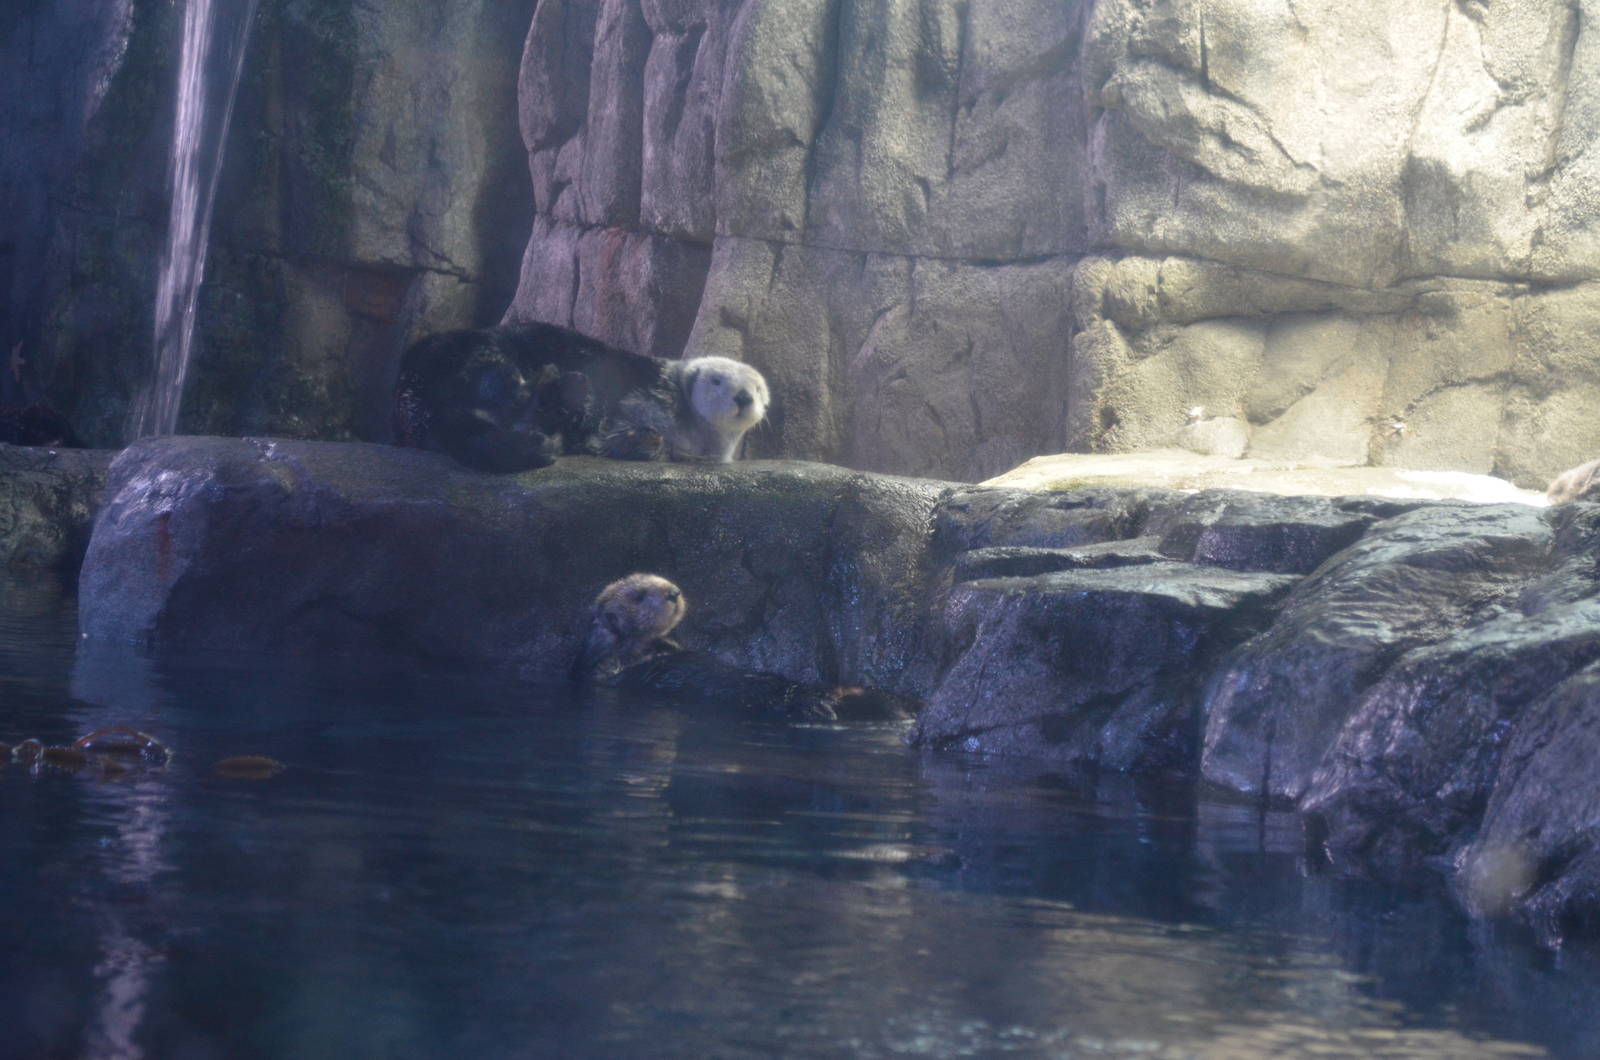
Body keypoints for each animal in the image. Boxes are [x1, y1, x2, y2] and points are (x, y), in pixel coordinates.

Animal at [393, 322, 769, 472]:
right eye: (717, 381)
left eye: (758, 388)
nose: (743, 397)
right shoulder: (644, 390)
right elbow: (628, 415)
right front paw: (640, 437)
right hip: (487, 358)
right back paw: (560, 388)